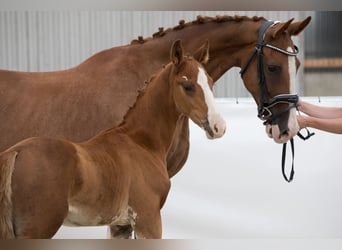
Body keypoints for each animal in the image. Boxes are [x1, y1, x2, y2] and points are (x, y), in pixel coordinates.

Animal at [0, 40, 226, 238]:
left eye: (211, 83)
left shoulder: (122, 225)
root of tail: (16, 152)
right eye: (188, 86)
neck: (141, 141)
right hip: (38, 229)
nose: (219, 127)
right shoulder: (148, 219)